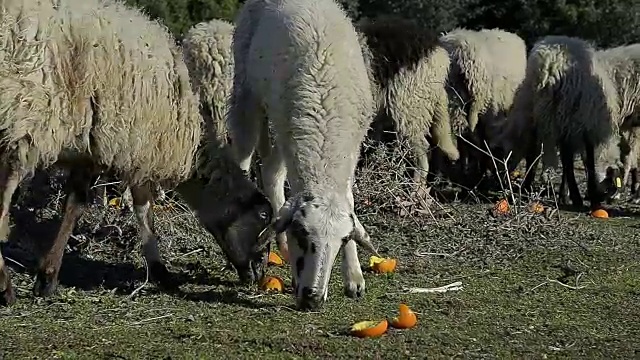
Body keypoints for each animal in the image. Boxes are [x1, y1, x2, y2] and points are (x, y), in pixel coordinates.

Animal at [0, 0, 272, 306]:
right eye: (263, 219)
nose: (258, 275)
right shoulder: (131, 145)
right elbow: (124, 207)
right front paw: (160, 270)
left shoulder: (101, 148)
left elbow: (83, 205)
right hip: (24, 119)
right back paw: (5, 288)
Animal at [229, 0, 380, 310]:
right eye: (301, 232)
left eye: (343, 241)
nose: (312, 299)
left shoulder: (350, 151)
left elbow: (349, 201)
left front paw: (354, 278)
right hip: (248, 94)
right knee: (249, 159)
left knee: (271, 170)